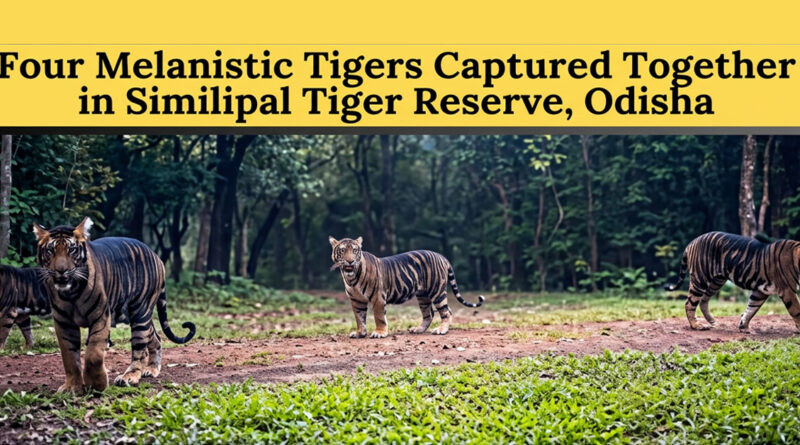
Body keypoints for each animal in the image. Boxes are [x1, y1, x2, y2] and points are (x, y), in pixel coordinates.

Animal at [33, 217, 196, 393]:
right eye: (51, 250)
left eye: (72, 250)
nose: (61, 271)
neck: (71, 293)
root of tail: (156, 255)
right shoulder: (63, 323)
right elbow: (69, 357)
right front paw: (72, 387)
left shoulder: (101, 317)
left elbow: (94, 354)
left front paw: (97, 384)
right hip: (137, 315)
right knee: (156, 338)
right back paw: (151, 369)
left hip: (140, 311)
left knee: (140, 348)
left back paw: (129, 377)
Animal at [329, 236, 484, 338]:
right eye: (342, 251)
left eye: (355, 251)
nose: (350, 261)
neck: (351, 277)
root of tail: (442, 256)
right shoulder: (356, 300)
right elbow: (359, 317)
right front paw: (360, 333)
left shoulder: (378, 297)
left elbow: (379, 316)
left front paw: (380, 333)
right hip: (423, 295)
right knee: (429, 314)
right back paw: (418, 330)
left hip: (436, 290)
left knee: (447, 311)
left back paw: (441, 330)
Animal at [665, 231, 800, 332]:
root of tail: (692, 242)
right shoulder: (787, 290)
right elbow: (796, 310)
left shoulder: (761, 291)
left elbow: (752, 308)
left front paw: (743, 327)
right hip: (700, 279)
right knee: (690, 303)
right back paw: (696, 325)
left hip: (717, 281)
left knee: (703, 300)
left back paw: (712, 321)